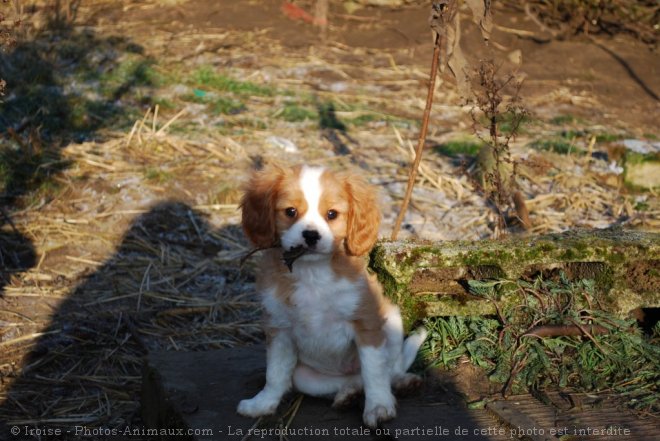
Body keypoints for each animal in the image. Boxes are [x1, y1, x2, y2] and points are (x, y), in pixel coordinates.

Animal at [238, 162, 428, 426]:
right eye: (290, 212)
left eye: (332, 214)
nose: (311, 235)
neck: (313, 273)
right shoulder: (279, 329)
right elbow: (275, 374)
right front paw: (262, 404)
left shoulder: (366, 325)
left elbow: (374, 372)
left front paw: (378, 407)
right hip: (305, 377)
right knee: (350, 380)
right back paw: (348, 394)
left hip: (391, 322)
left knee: (390, 369)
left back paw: (401, 382)